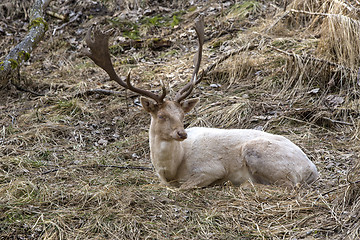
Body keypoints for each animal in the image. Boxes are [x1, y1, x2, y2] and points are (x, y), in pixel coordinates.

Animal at [83, 17, 318, 189]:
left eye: (182, 115)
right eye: (162, 115)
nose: (181, 133)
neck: (171, 169)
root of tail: (311, 168)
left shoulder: (211, 168)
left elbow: (183, 187)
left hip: (259, 153)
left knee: (288, 184)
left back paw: (241, 185)